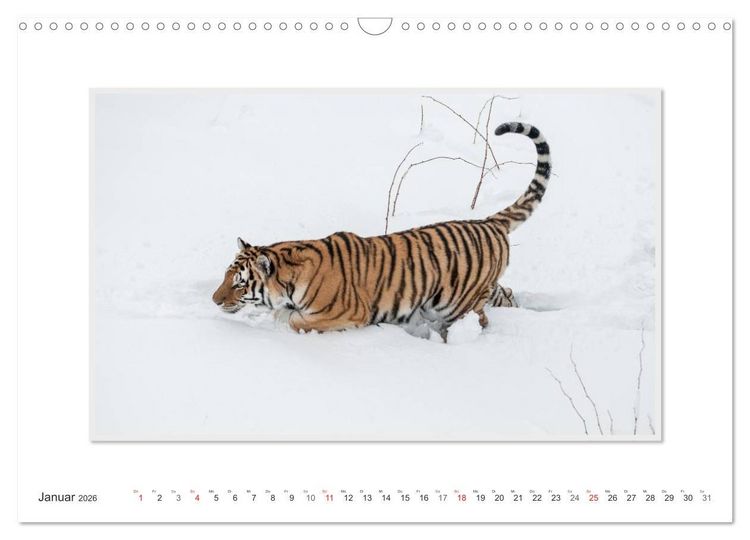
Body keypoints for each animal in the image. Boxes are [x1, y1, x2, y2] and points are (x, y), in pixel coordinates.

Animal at [212, 122, 550, 341]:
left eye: (240, 284)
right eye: (226, 276)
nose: (214, 301)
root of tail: (487, 222)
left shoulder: (346, 312)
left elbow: (298, 322)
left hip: (457, 302)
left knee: (477, 321)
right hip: (481, 288)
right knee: (506, 294)